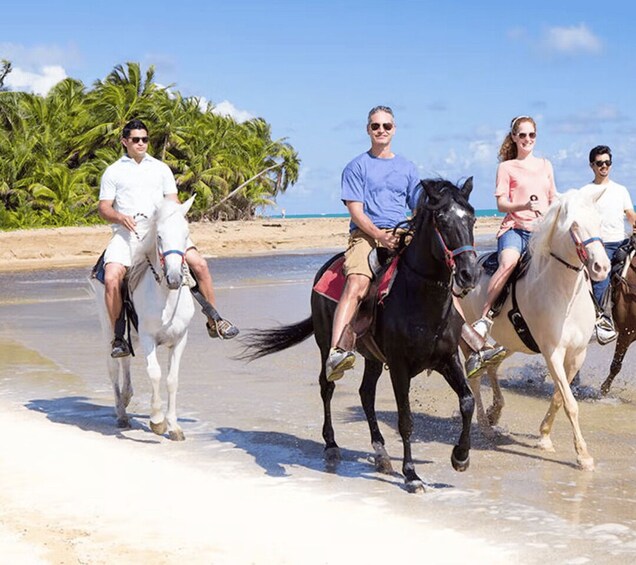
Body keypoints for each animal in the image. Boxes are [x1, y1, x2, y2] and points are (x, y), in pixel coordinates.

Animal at [92, 198, 195, 440]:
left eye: (186, 234)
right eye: (159, 236)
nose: (174, 278)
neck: (166, 297)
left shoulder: (180, 339)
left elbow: (172, 380)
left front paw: (174, 427)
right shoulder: (149, 338)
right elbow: (155, 374)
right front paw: (157, 422)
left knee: (126, 358)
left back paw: (127, 396)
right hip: (109, 328)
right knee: (114, 366)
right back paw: (121, 413)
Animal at [241, 178, 480, 492]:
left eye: (472, 218)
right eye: (441, 219)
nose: (469, 274)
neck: (420, 298)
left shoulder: (447, 358)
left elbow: (467, 401)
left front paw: (461, 457)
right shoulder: (400, 367)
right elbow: (406, 420)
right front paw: (411, 475)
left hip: (374, 358)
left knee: (366, 394)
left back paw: (380, 453)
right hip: (326, 345)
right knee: (327, 387)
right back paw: (331, 444)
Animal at [462, 187, 612, 470]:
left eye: (599, 222)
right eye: (575, 225)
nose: (601, 268)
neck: (564, 295)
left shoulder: (577, 354)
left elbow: (559, 397)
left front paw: (544, 438)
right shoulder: (552, 352)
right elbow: (570, 402)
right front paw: (583, 455)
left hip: (509, 342)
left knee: (492, 366)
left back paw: (495, 413)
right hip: (466, 339)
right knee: (475, 377)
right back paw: (486, 426)